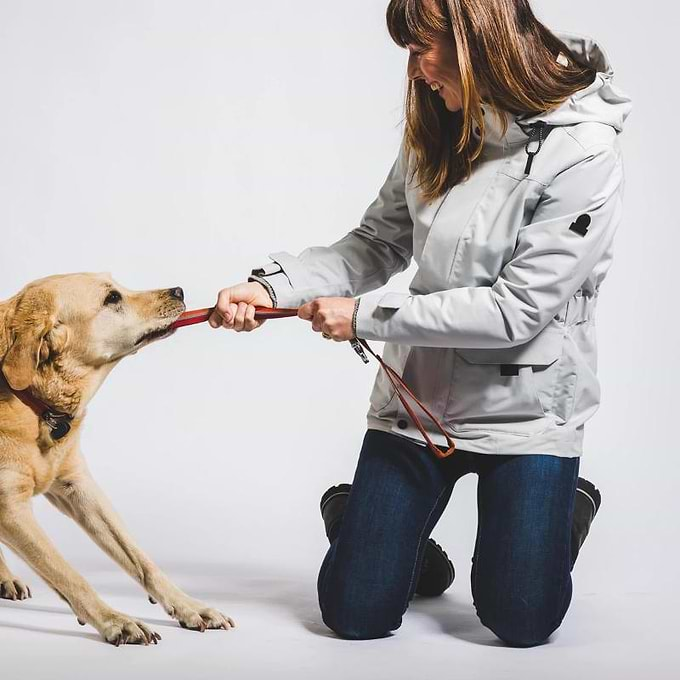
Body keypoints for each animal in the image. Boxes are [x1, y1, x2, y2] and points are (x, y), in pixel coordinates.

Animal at [0, 270, 234, 644]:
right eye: (112, 299)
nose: (179, 290)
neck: (35, 402)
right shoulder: (10, 507)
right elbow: (68, 574)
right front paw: (115, 621)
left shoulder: (78, 486)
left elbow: (140, 560)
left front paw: (190, 607)